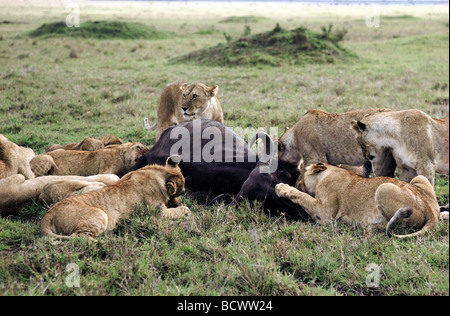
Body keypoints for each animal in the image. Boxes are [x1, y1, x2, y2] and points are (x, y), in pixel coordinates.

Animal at [41, 155, 191, 239]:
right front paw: (185, 209)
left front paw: (177, 203)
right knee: (79, 237)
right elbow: (181, 210)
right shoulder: (158, 213)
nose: (184, 191)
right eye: (182, 188)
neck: (161, 174)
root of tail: (48, 215)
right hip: (100, 215)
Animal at [276, 164, 442, 238]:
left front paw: (282, 188)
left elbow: (303, 197)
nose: (295, 180)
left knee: (397, 225)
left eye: (301, 175)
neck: (329, 171)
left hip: (383, 188)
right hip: (420, 178)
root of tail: (431, 211)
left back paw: (367, 226)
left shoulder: (326, 215)